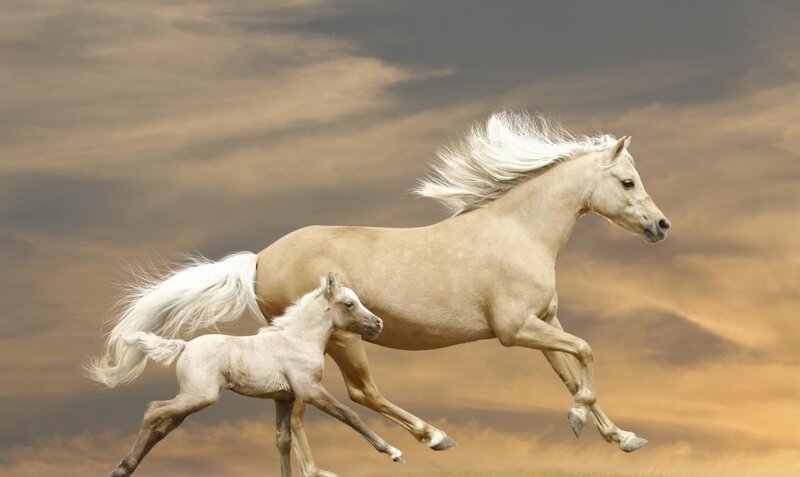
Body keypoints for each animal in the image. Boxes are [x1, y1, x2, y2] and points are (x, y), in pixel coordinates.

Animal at [107, 274, 403, 477]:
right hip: (200, 396)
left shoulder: (284, 398)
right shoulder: (309, 390)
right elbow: (349, 415)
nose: (378, 324)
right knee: (153, 409)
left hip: (191, 400)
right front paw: (393, 452)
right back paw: (124, 465)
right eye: (349, 303)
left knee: (161, 427)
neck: (299, 339)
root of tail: (184, 346)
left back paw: (122, 469)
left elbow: (283, 441)